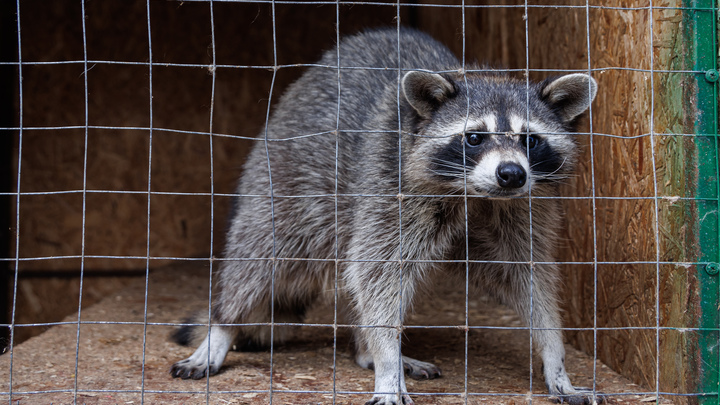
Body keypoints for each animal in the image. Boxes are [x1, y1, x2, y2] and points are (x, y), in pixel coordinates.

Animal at [170, 28, 600, 404]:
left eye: (530, 140)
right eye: (474, 138)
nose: (511, 174)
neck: (473, 193)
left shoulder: (522, 207)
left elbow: (529, 278)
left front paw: (554, 355)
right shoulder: (389, 184)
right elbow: (377, 274)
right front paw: (387, 365)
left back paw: (365, 350)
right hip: (285, 181)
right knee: (259, 259)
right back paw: (223, 327)